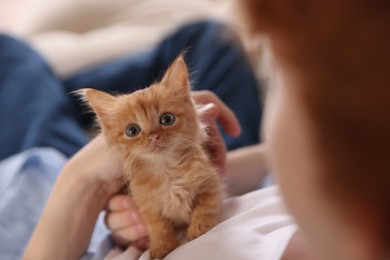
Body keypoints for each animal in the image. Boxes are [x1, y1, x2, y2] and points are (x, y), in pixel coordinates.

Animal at [80, 55, 222, 258]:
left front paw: (200, 226)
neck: (167, 171)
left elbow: (205, 205)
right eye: (132, 131)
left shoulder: (208, 182)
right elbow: (158, 227)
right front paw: (162, 245)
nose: (153, 137)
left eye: (167, 119)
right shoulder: (147, 206)